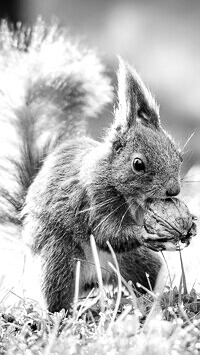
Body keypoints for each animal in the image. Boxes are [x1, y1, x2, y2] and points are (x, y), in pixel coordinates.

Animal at [0, 20, 182, 314]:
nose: (173, 190)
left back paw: (151, 300)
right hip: (60, 258)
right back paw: (66, 312)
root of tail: (96, 278)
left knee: (146, 277)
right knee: (57, 296)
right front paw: (144, 232)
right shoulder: (92, 195)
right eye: (138, 164)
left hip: (136, 261)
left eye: (177, 154)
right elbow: (106, 231)